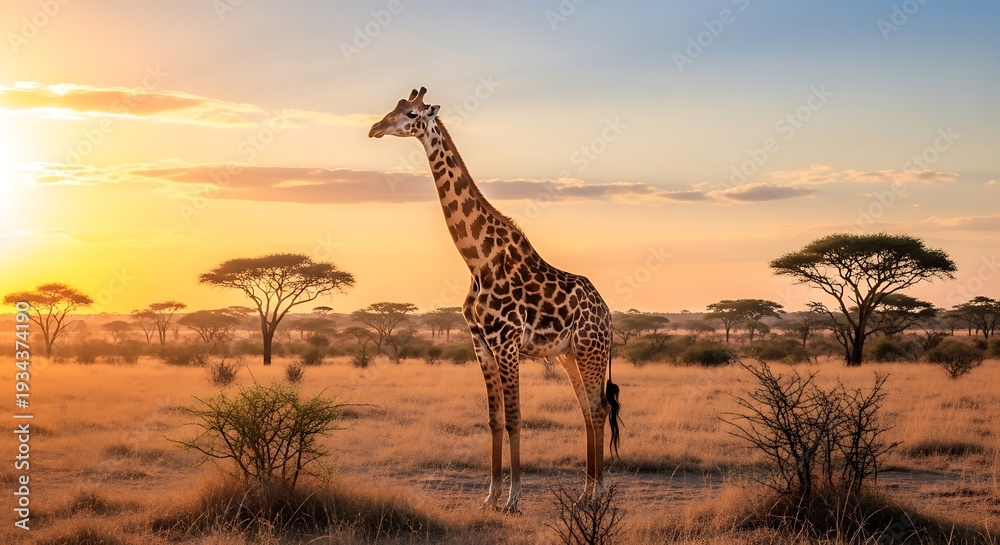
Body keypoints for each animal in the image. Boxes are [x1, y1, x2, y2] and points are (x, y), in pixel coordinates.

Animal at [369, 87, 621, 512]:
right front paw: (490, 497)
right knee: (588, 410)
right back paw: (586, 492)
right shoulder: (481, 346)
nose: (375, 128)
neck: (477, 260)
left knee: (600, 408)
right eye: (394, 108)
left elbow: (516, 417)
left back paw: (597, 494)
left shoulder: (506, 344)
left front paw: (514, 499)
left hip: (591, 349)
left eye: (413, 113)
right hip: (569, 354)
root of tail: (606, 312)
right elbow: (494, 420)